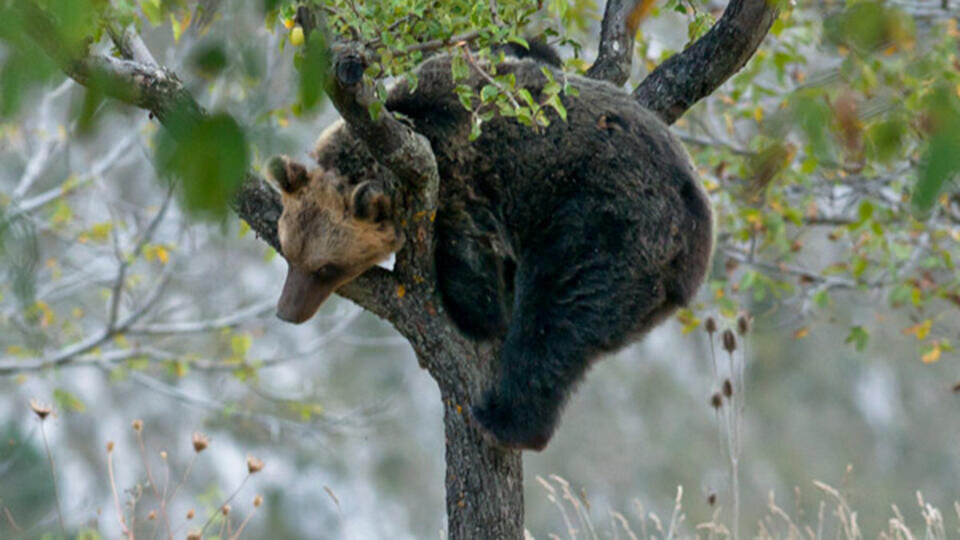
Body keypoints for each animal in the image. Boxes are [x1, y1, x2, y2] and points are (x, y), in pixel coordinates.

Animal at [266, 45, 708, 452]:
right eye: (288, 253)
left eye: (326, 268)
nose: (287, 311)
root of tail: (695, 243)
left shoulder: (459, 180)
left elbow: (470, 270)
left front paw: (477, 312)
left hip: (606, 225)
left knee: (556, 319)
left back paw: (505, 420)